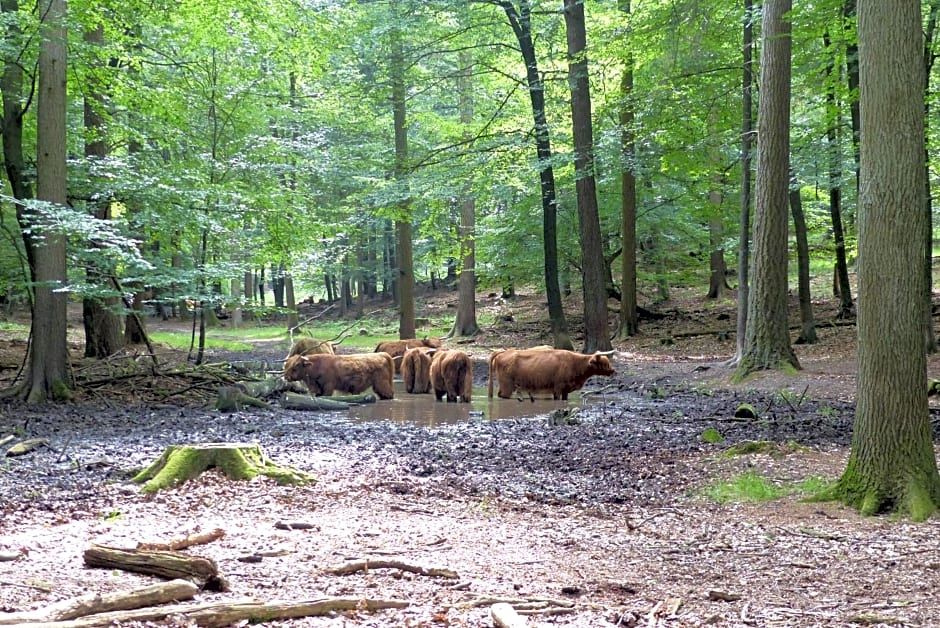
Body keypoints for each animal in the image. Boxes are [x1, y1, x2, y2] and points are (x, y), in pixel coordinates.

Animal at [484, 346, 616, 400]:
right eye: (604, 363)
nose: (613, 370)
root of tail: (504, 352)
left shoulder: (564, 390)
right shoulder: (558, 388)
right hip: (507, 386)